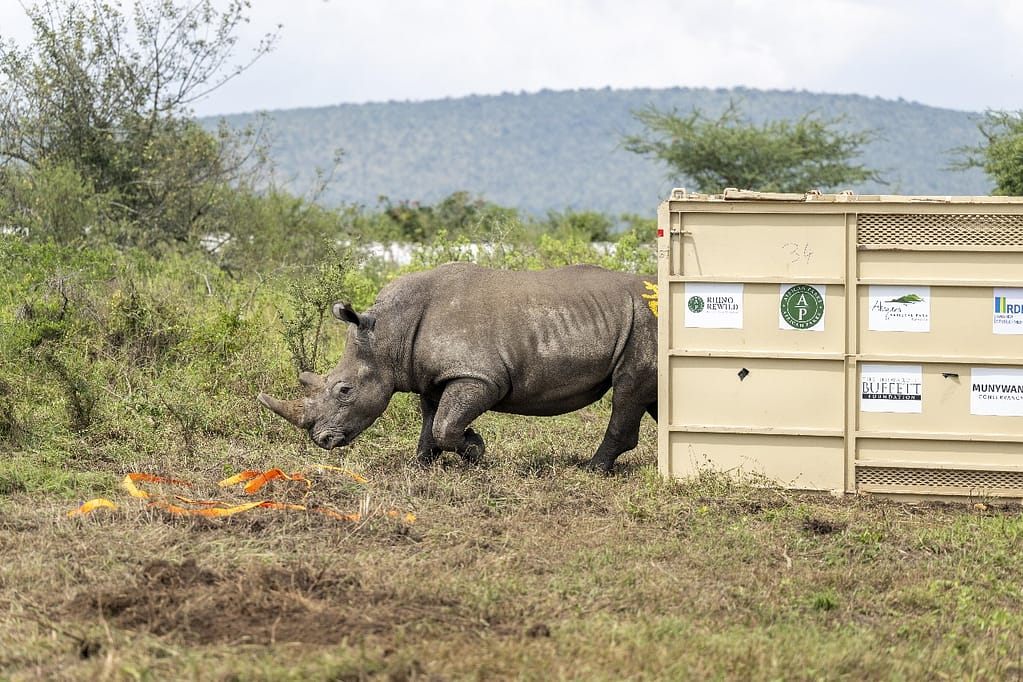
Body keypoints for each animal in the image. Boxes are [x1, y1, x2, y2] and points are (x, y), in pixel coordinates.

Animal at [258, 262, 658, 473]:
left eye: (344, 390)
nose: (321, 440)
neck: (388, 333)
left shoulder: (479, 377)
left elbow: (445, 425)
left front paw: (476, 449)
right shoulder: (432, 378)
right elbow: (430, 421)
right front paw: (421, 465)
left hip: (646, 322)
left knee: (628, 391)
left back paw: (592, 470)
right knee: (653, 398)